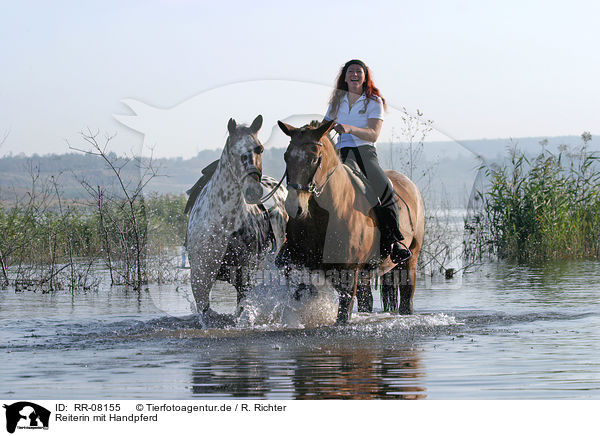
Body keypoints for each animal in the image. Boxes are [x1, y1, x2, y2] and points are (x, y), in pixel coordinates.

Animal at [189, 116, 290, 318]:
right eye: (234, 151)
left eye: (260, 148)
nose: (253, 191)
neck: (222, 225)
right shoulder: (200, 279)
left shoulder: (244, 276)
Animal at [278, 119, 426, 324]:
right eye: (286, 157)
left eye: (314, 159)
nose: (294, 208)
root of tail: (411, 186)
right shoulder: (298, 266)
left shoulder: (348, 274)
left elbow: (342, 315)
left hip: (410, 261)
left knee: (406, 300)